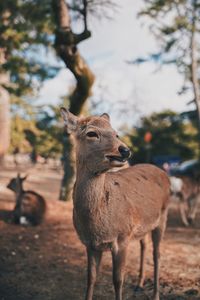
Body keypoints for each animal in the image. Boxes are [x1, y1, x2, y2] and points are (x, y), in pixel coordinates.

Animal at [60, 108, 170, 300]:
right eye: (91, 133)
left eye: (116, 133)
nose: (125, 150)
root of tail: (166, 176)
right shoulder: (90, 244)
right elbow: (90, 278)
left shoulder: (122, 237)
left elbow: (118, 280)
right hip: (143, 226)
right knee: (144, 245)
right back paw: (139, 284)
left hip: (163, 217)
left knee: (157, 254)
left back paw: (155, 294)